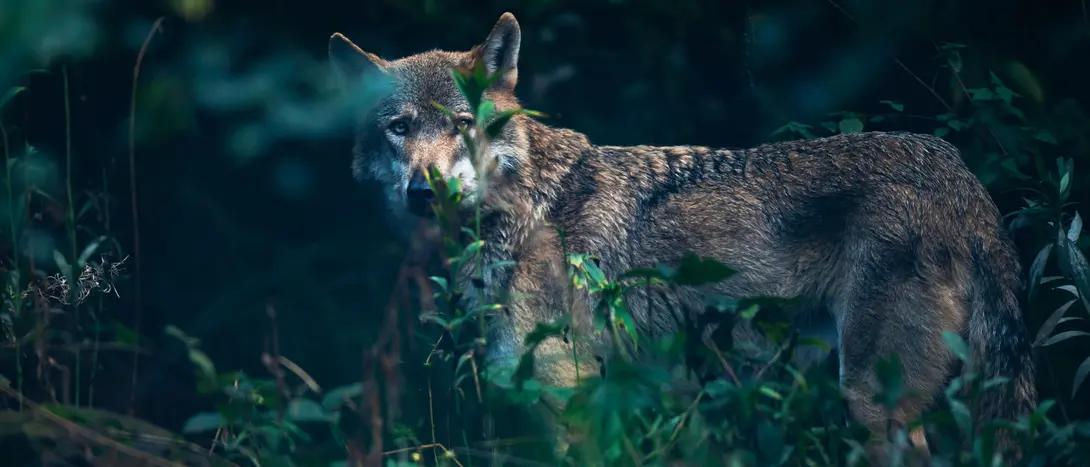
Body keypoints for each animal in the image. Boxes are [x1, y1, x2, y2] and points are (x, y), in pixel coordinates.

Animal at [329, 12, 1037, 464]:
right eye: (399, 127)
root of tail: (960, 176)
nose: (423, 192)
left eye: (459, 124)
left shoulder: (568, 397)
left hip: (871, 405)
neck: (524, 208)